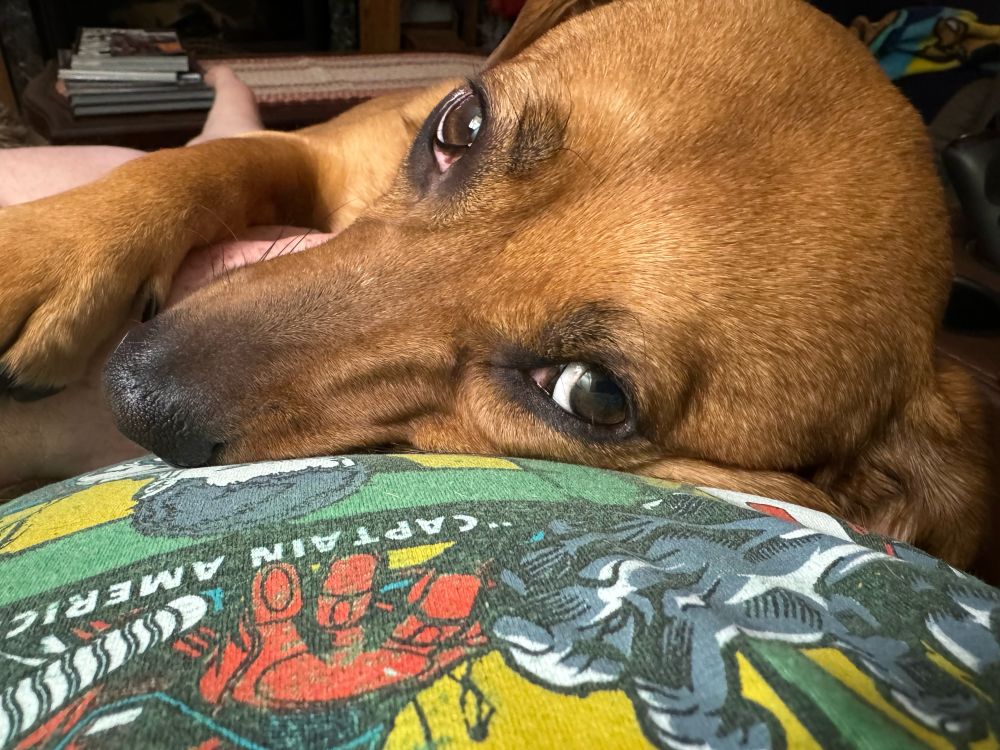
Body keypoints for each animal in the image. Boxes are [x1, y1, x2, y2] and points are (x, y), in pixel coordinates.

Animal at [0, 0, 993, 573]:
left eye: (592, 396)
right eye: (459, 126)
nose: (135, 395)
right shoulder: (323, 152)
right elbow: (210, 162)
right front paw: (43, 258)